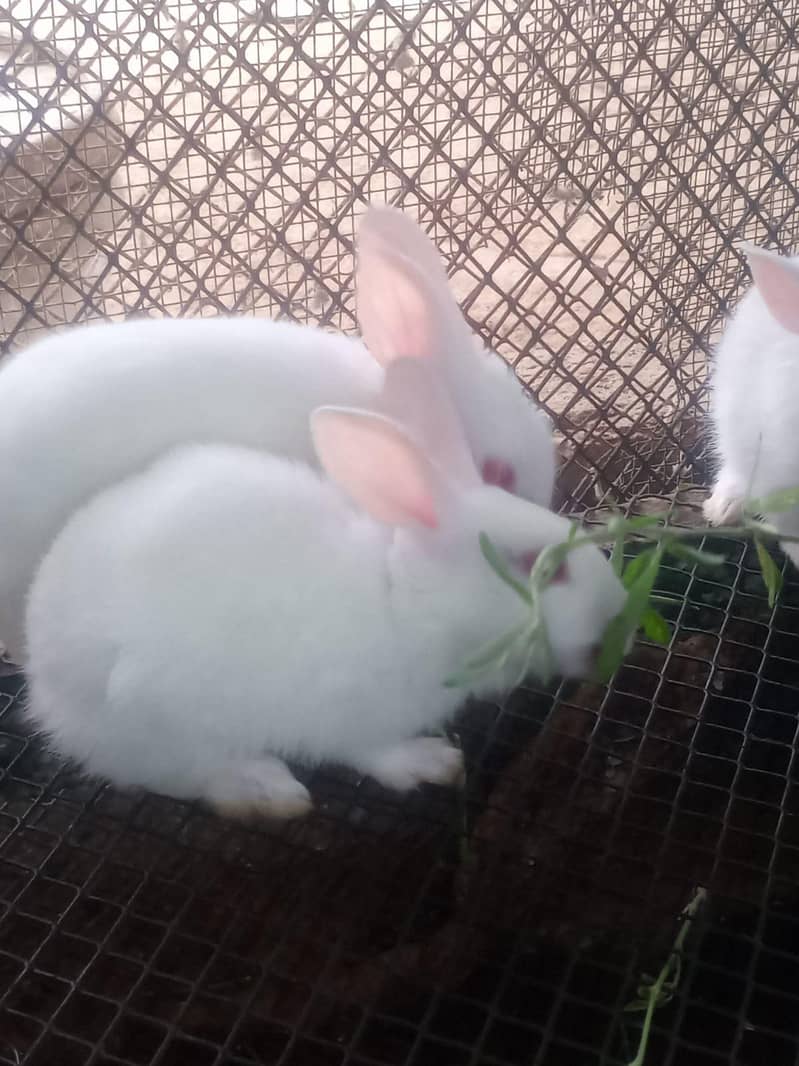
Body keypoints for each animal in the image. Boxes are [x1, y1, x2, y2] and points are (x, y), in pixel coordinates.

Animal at [23, 359, 622, 819]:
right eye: (539, 567)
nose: (615, 609)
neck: (402, 603)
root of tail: (43, 684)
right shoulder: (347, 715)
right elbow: (371, 752)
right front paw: (431, 764)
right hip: (157, 719)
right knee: (185, 773)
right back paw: (267, 792)